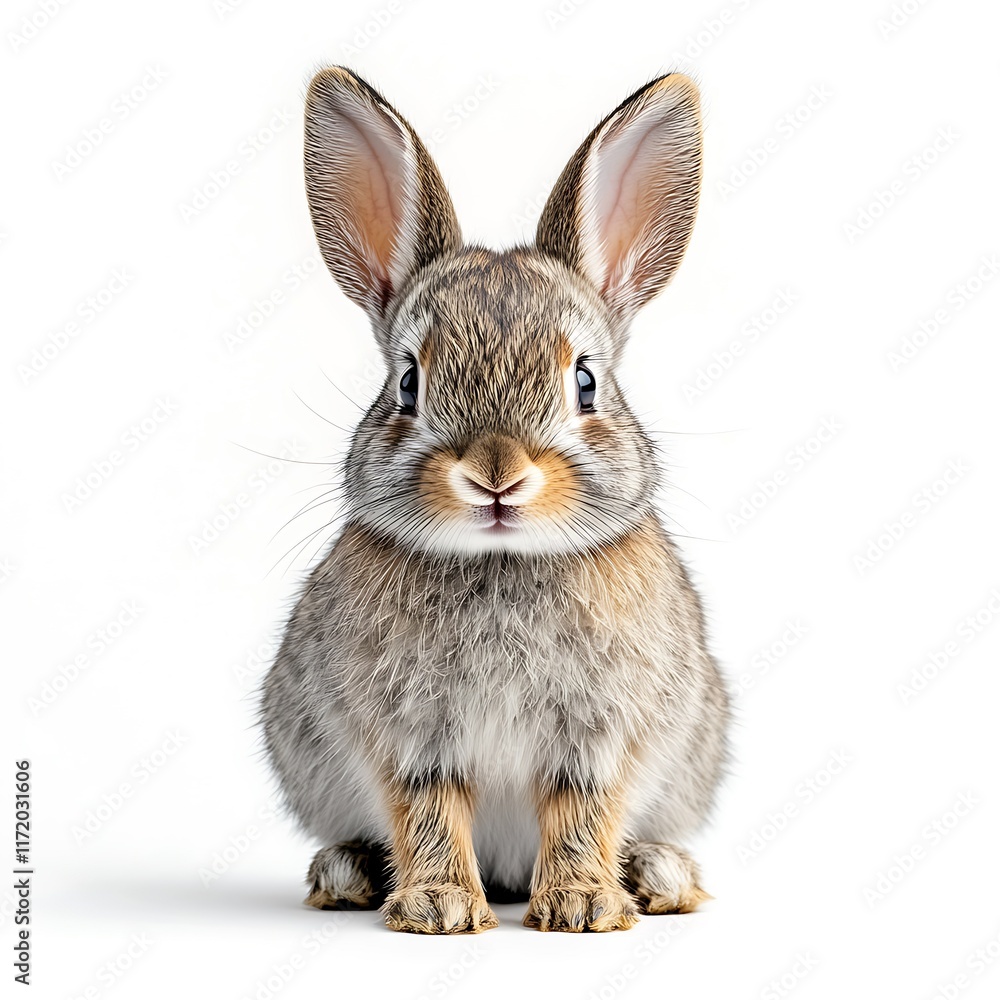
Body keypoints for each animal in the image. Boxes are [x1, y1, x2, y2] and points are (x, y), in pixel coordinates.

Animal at [261, 66, 730, 934]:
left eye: (586, 382)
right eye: (408, 383)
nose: (496, 473)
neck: (503, 559)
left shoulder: (597, 736)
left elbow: (582, 811)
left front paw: (583, 905)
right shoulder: (413, 737)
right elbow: (430, 812)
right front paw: (439, 907)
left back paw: (659, 876)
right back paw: (348, 873)